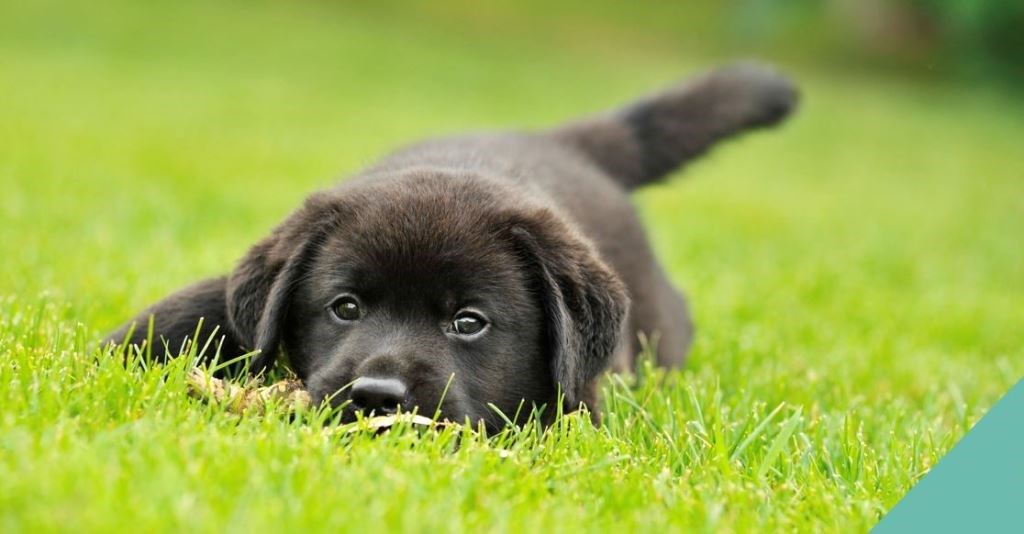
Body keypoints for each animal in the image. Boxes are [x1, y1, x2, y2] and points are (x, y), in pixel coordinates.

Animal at [103, 63, 794, 428]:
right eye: (345, 308)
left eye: (468, 322)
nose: (378, 396)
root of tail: (562, 143)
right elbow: (181, 315)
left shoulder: (580, 399)